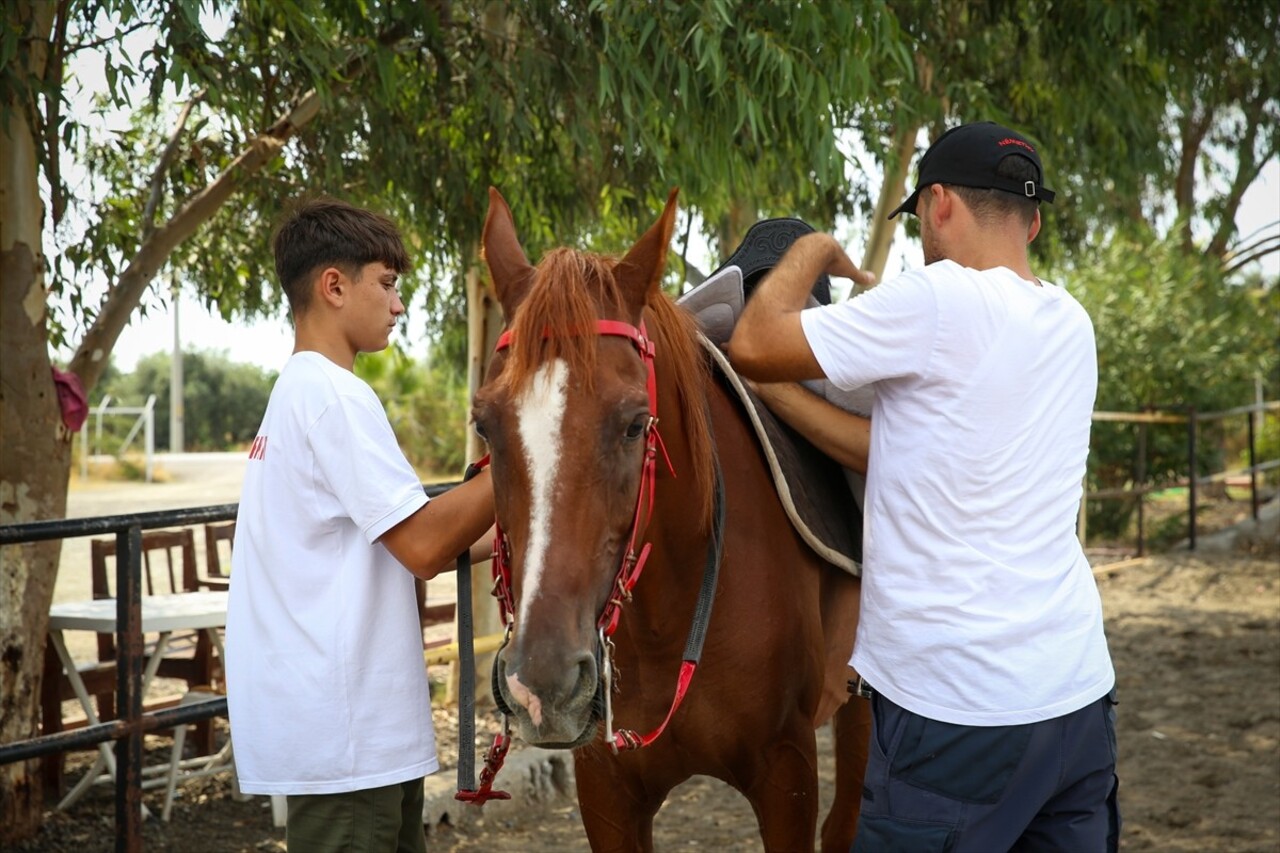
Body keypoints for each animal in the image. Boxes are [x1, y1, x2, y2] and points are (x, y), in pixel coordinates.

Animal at [478, 188, 870, 850]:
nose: (545, 683)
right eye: (484, 424)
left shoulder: (787, 774)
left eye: (637, 423)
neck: (671, 622)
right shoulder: (606, 791)